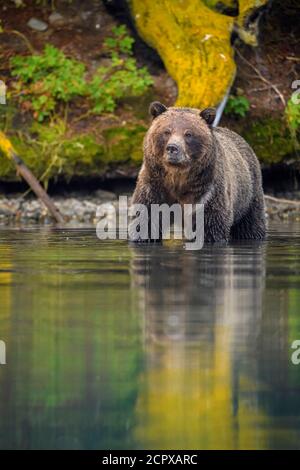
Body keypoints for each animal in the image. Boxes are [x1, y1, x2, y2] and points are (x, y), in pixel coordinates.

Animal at [130, 102, 266, 242]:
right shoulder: (154, 185)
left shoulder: (207, 189)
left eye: (188, 134)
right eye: (166, 131)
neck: (178, 177)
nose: (173, 148)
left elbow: (210, 225)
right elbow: (146, 217)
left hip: (249, 193)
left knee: (250, 224)